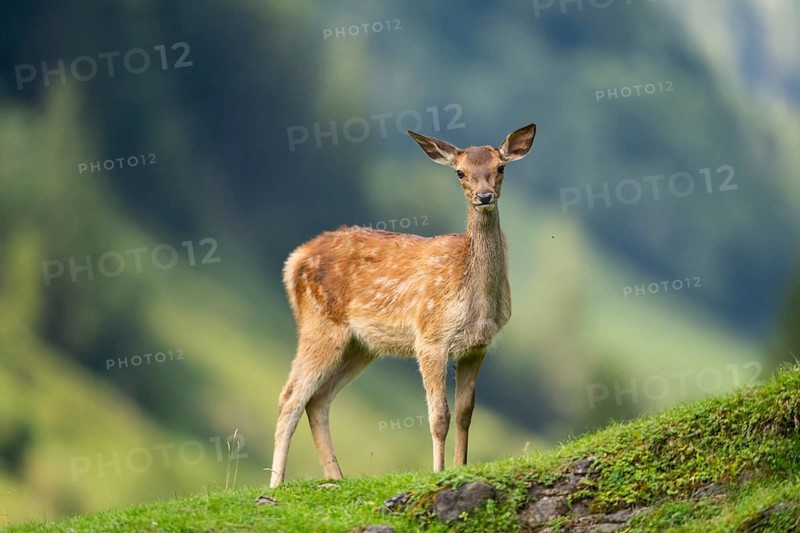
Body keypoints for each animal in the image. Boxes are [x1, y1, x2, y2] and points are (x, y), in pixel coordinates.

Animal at [269, 123, 537, 488]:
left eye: (500, 168)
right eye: (460, 172)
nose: (484, 196)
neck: (475, 295)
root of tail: (294, 260)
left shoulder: (477, 346)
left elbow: (465, 413)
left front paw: (461, 467)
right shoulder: (430, 338)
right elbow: (439, 415)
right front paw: (438, 472)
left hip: (360, 345)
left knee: (318, 400)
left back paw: (337, 477)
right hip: (319, 324)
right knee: (290, 397)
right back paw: (275, 483)